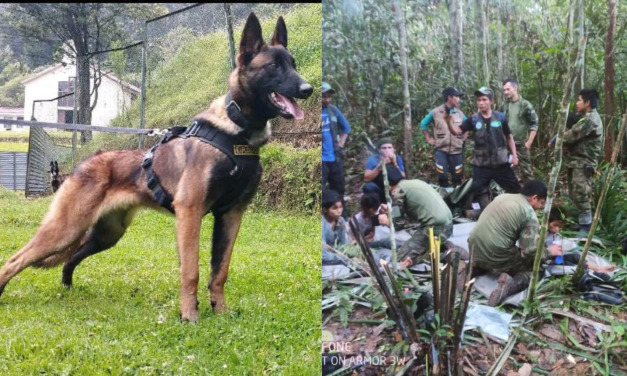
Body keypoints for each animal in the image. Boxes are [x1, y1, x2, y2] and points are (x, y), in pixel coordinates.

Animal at [0, 13, 312, 322]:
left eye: (293, 64)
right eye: (273, 66)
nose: (308, 89)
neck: (237, 132)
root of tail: (85, 163)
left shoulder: (231, 215)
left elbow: (220, 270)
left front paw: (219, 311)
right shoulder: (190, 213)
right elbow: (191, 271)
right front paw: (190, 316)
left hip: (106, 235)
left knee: (71, 259)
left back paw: (67, 287)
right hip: (66, 228)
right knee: (16, 259)